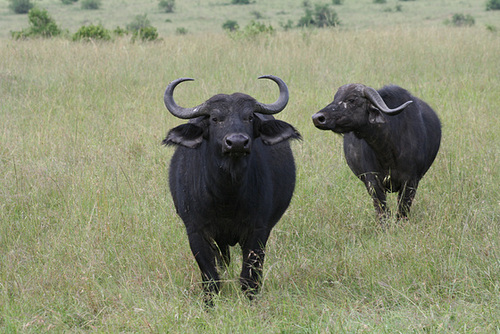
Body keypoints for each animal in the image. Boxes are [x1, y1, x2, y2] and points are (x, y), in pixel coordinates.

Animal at [163, 75, 300, 302]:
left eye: (250, 117)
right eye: (215, 118)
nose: (236, 142)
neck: (226, 195)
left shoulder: (258, 230)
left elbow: (249, 276)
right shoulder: (196, 231)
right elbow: (210, 276)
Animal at [310, 83, 444, 219]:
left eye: (352, 99)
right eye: (335, 98)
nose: (317, 118)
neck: (388, 151)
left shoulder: (410, 181)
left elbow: (402, 210)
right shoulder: (372, 182)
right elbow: (382, 211)